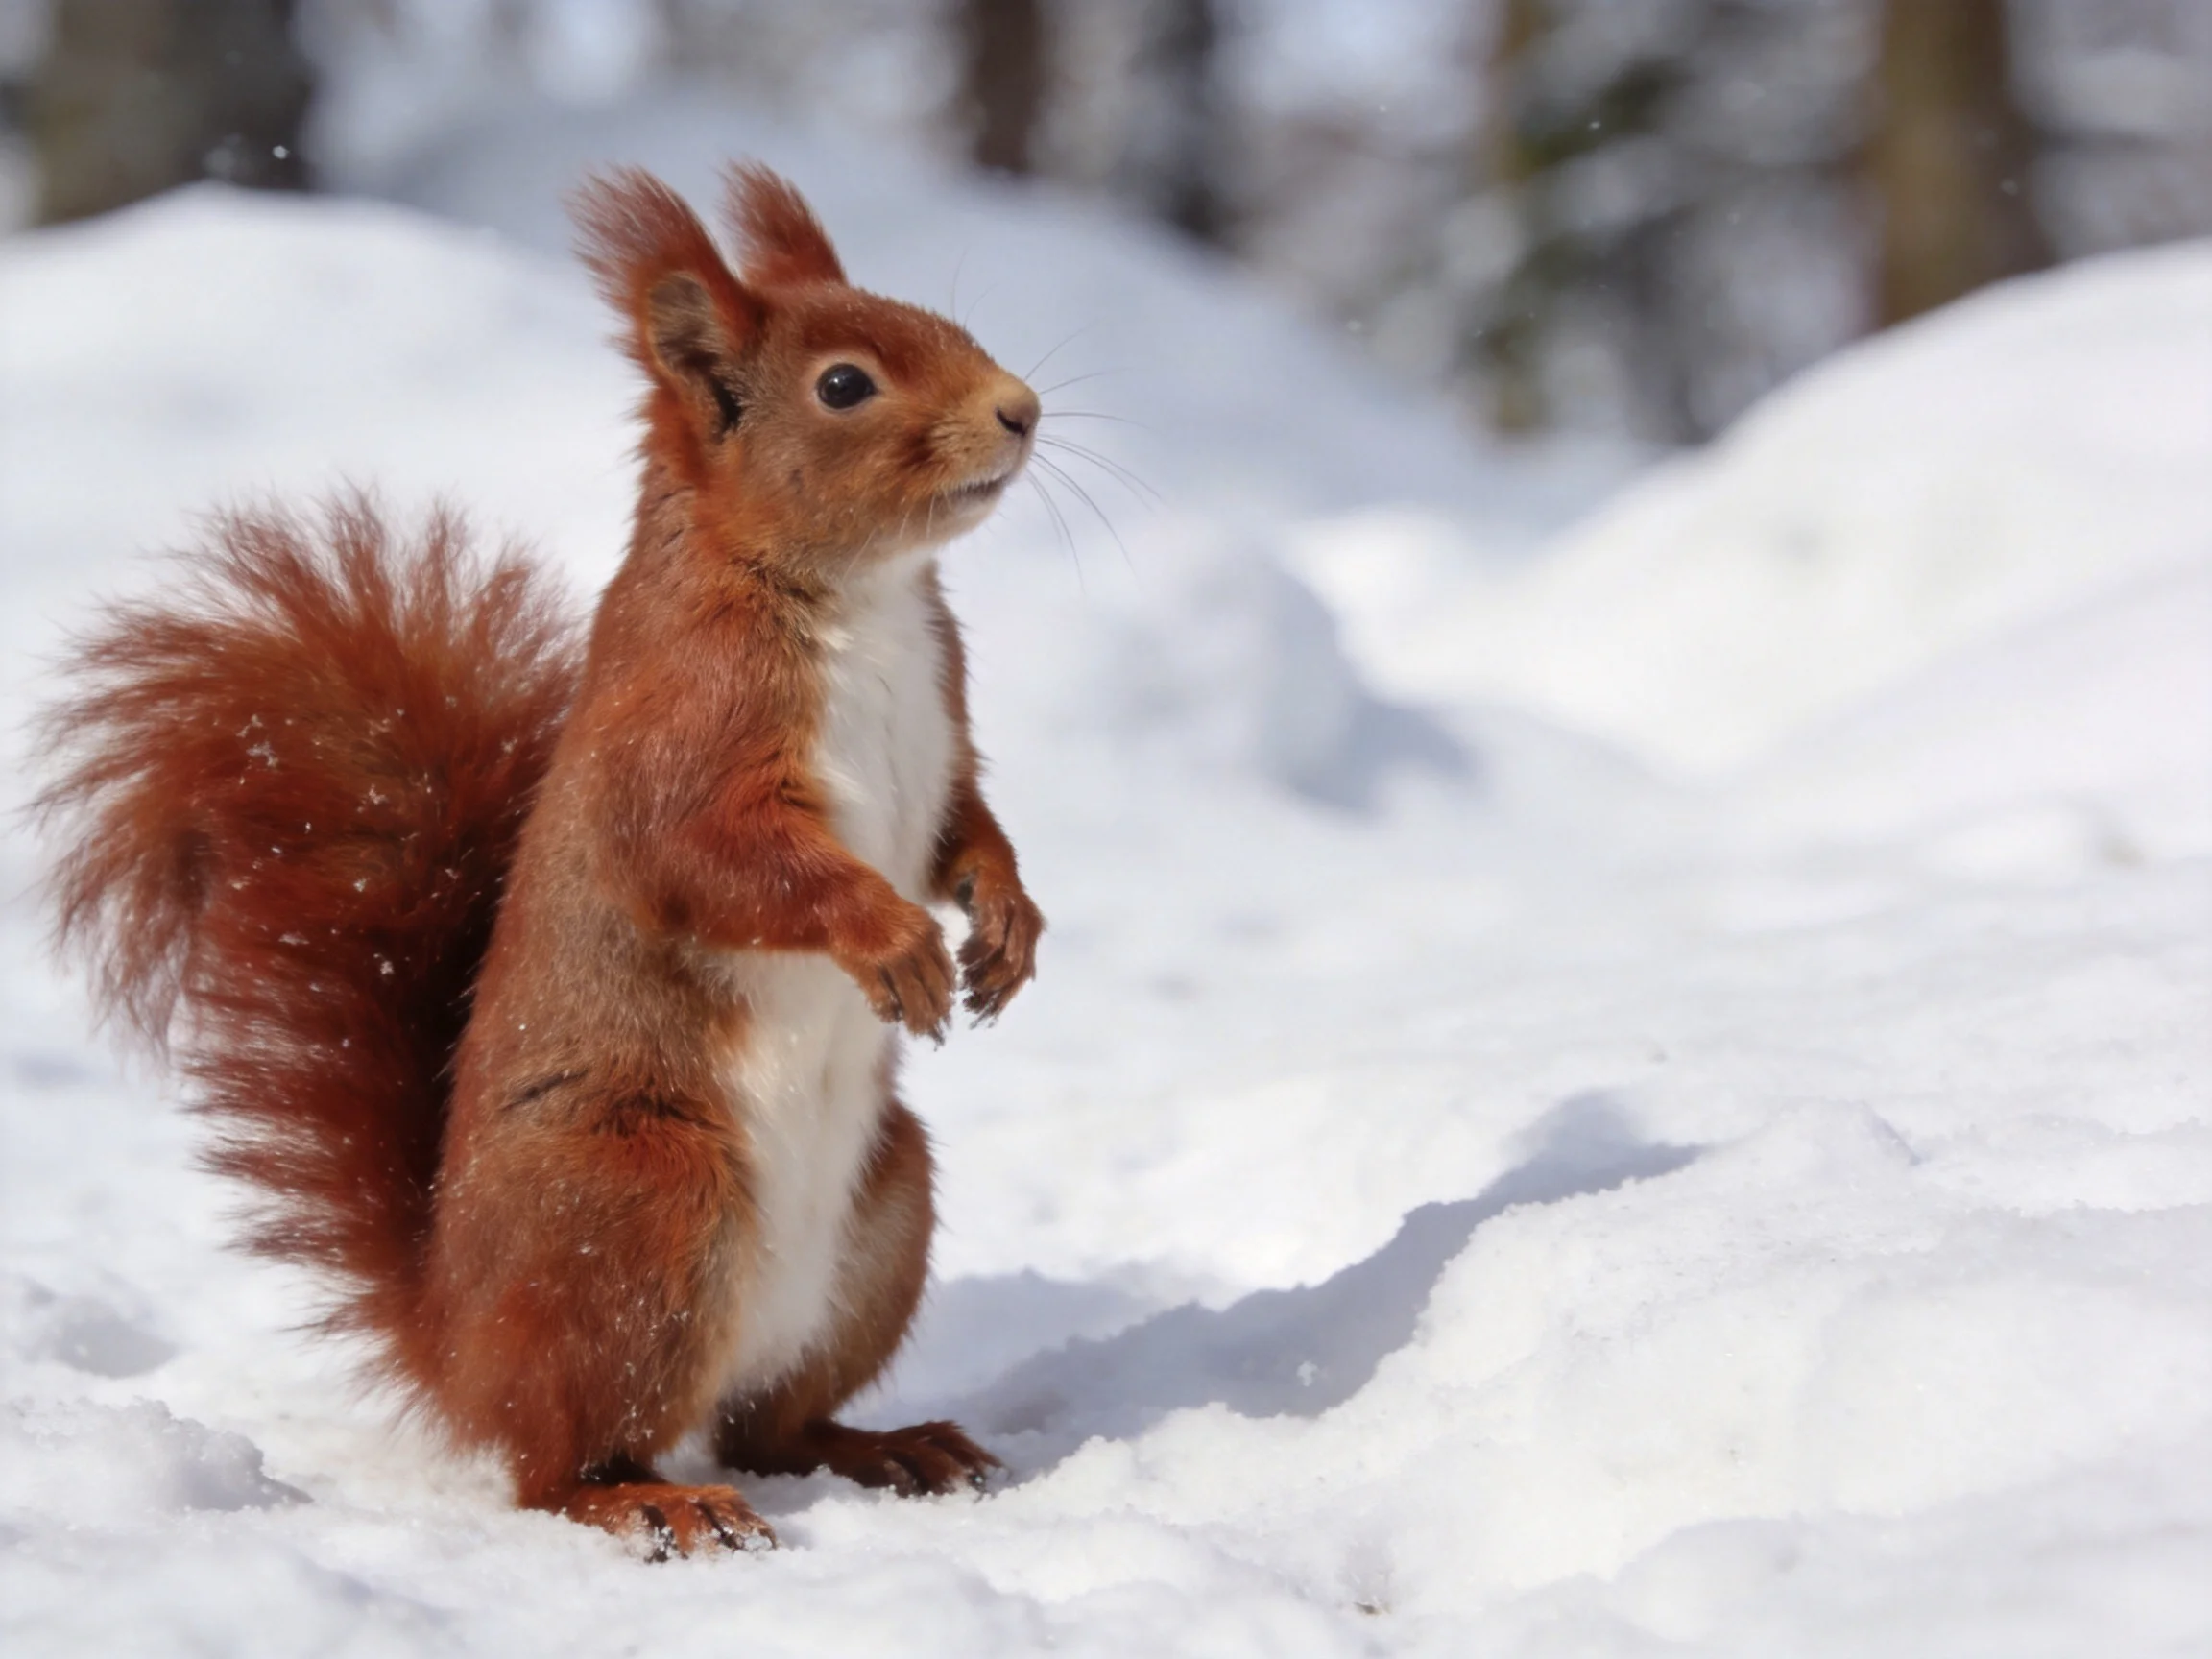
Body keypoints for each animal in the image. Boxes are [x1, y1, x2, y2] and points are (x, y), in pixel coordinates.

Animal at [37, 163, 1047, 1557]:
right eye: (845, 385)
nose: (1022, 410)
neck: (864, 601)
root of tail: (458, 1346)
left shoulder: (944, 739)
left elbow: (968, 831)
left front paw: (1008, 922)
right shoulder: (683, 741)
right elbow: (731, 866)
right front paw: (892, 941)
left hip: (884, 1208)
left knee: (771, 1425)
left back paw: (887, 1445)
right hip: (644, 1199)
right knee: (558, 1464)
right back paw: (650, 1500)